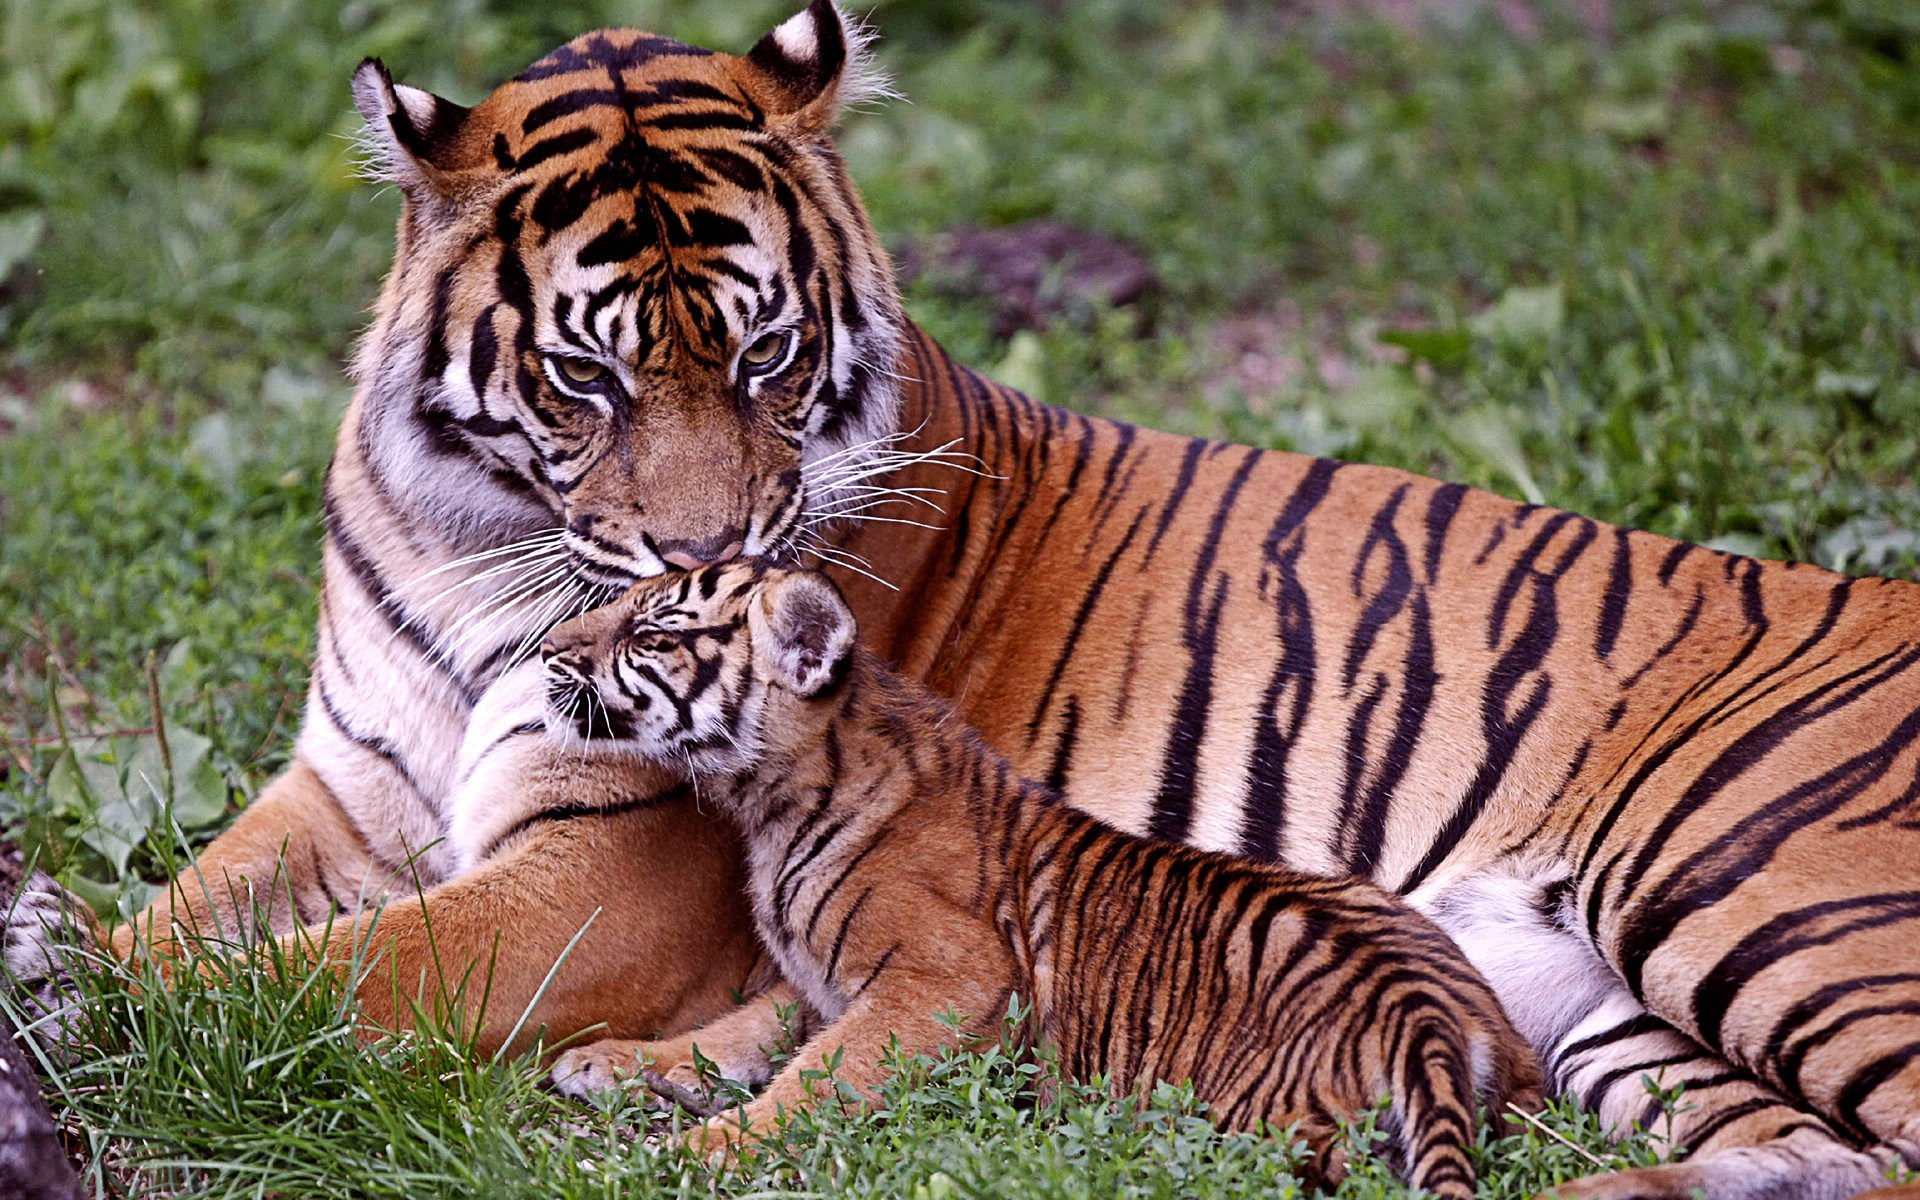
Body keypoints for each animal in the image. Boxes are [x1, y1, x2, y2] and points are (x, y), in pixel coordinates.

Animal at [534, 560, 1543, 1199]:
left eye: (651, 632)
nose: (549, 649)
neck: (770, 799)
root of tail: (1428, 1016)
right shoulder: (816, 983)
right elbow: (735, 1035)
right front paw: (614, 1062)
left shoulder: (946, 979)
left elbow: (813, 1079)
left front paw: (697, 1152)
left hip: (1248, 1121)